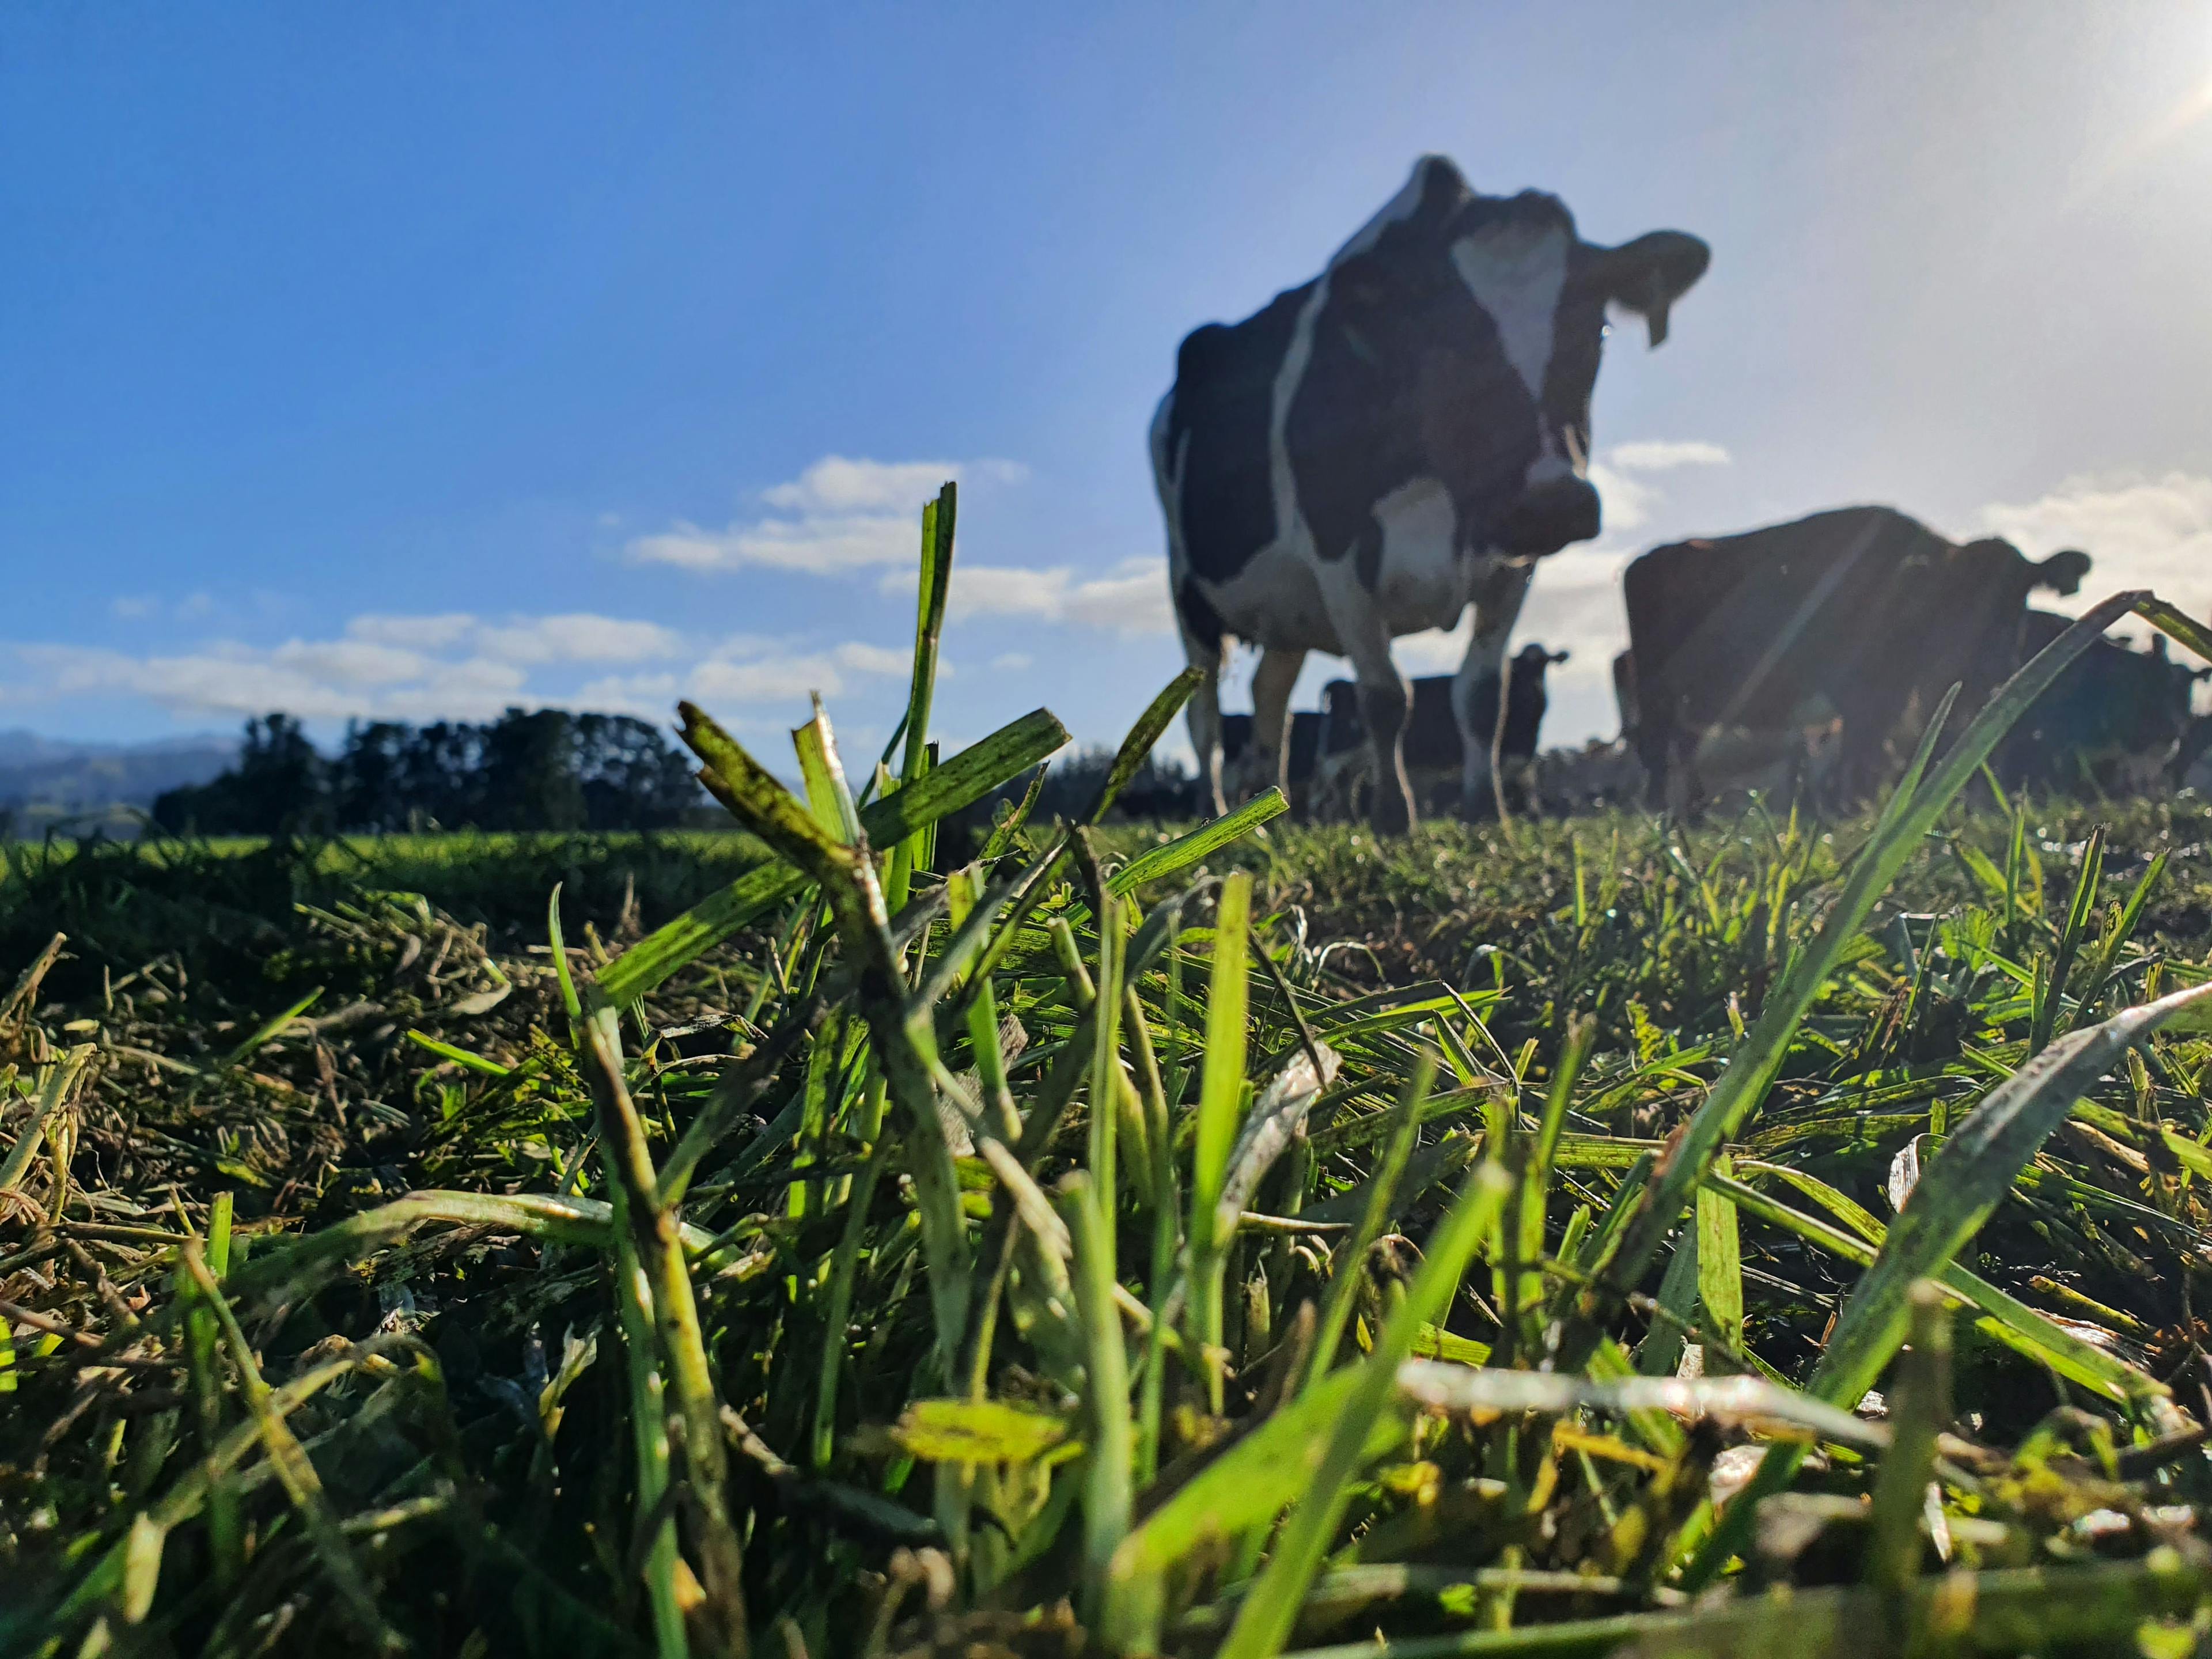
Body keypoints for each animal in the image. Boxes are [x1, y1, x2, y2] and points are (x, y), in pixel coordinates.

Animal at [1159, 154, 1707, 831]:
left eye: (1597, 329)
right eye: (1442, 338)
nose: (1553, 504)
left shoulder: (1513, 561)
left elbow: (1482, 696)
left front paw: (1486, 808)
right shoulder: (1338, 550)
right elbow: (1386, 696)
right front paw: (1395, 817)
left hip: (1284, 610)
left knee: (1271, 698)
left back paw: (1267, 817)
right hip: (1188, 593)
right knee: (1203, 716)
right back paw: (1211, 812)